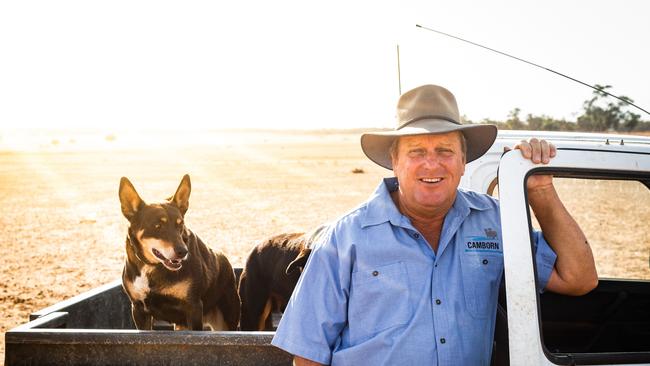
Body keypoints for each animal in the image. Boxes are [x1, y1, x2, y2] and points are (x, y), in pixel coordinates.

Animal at [117, 174, 239, 332]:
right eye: (157, 226)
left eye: (180, 224)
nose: (183, 252)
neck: (152, 267)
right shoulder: (138, 309)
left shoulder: (193, 307)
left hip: (227, 319)